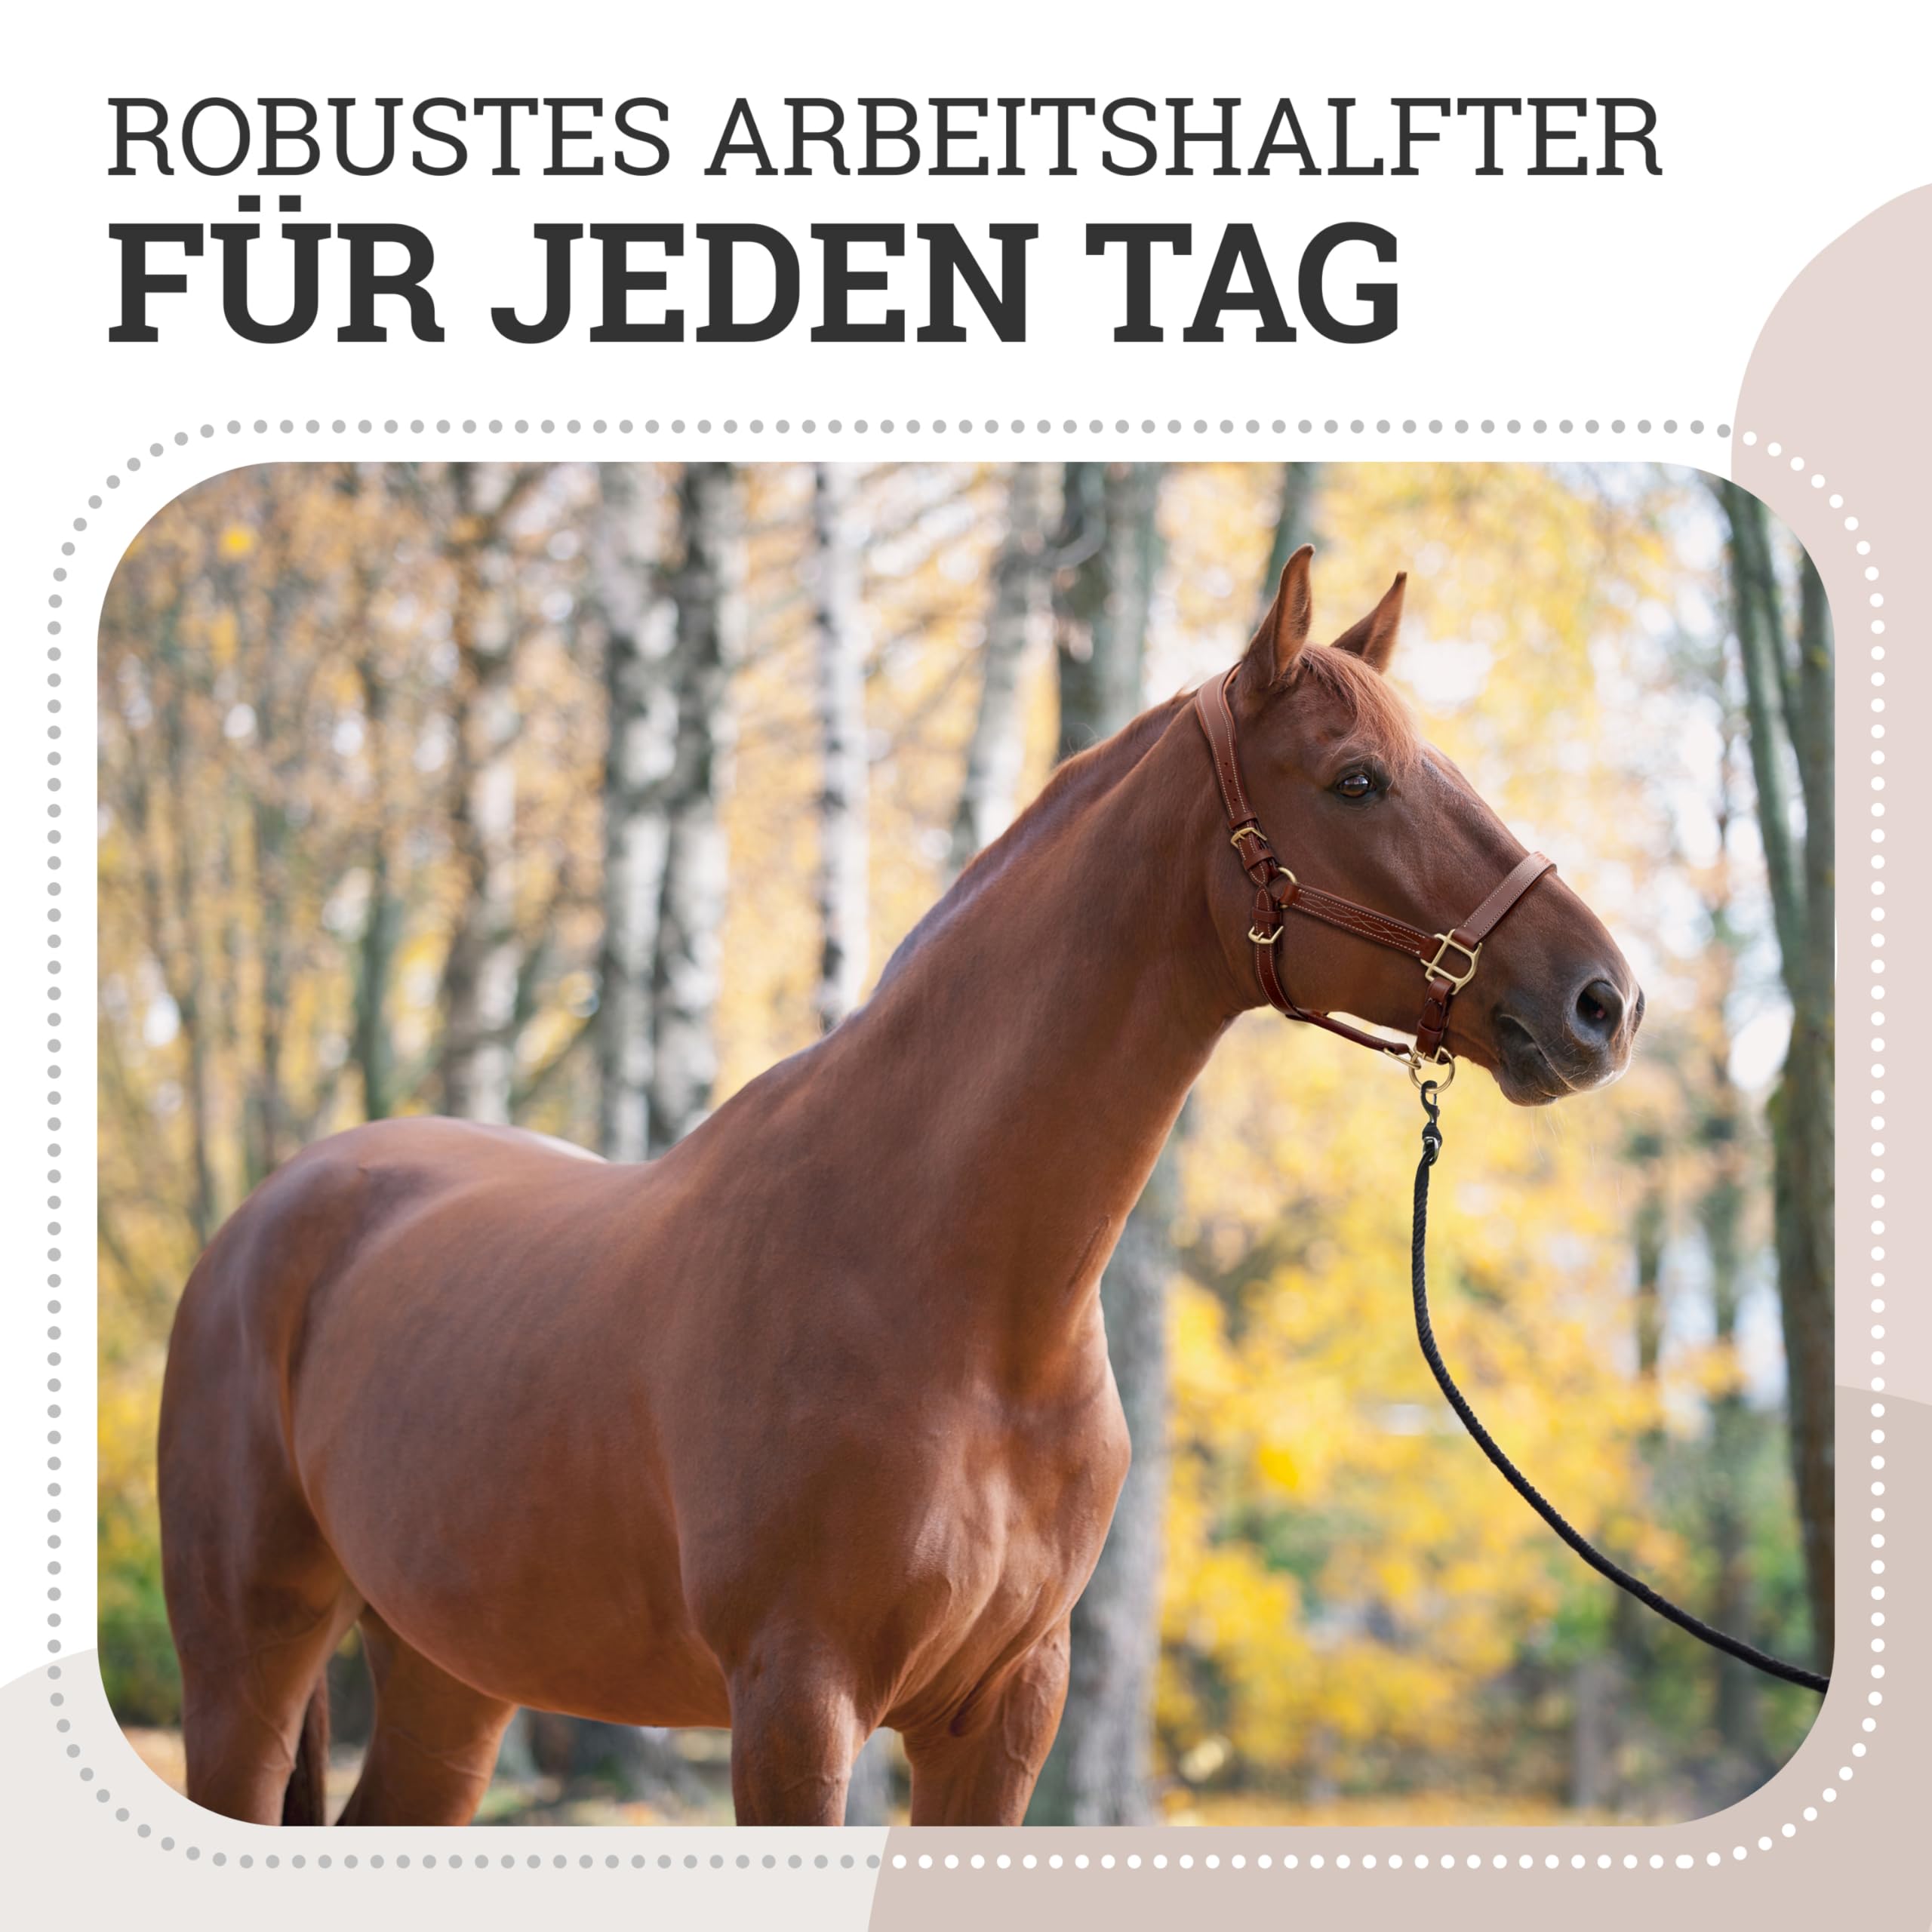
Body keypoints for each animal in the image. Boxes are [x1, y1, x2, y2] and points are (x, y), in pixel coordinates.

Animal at [155, 546, 1642, 1828]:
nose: (1603, 1001)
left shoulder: (1005, 1715)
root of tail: (278, 1211)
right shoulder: (796, 1707)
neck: (958, 1301)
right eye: (1355, 781)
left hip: (449, 1669)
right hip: (249, 1661)